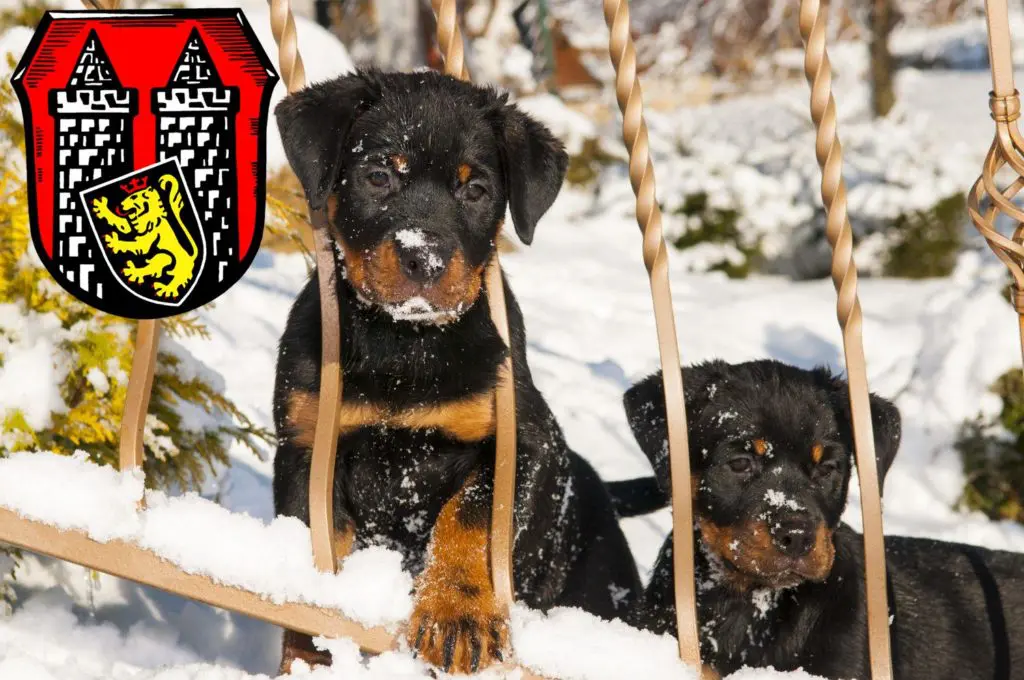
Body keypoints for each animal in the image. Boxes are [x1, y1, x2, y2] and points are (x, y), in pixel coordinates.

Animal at [272, 70, 638, 675]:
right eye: (378, 175)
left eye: (475, 191)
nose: (425, 258)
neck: (404, 343)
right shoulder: (307, 444)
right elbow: (318, 554)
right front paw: (312, 654)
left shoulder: (519, 443)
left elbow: (469, 519)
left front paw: (457, 616)